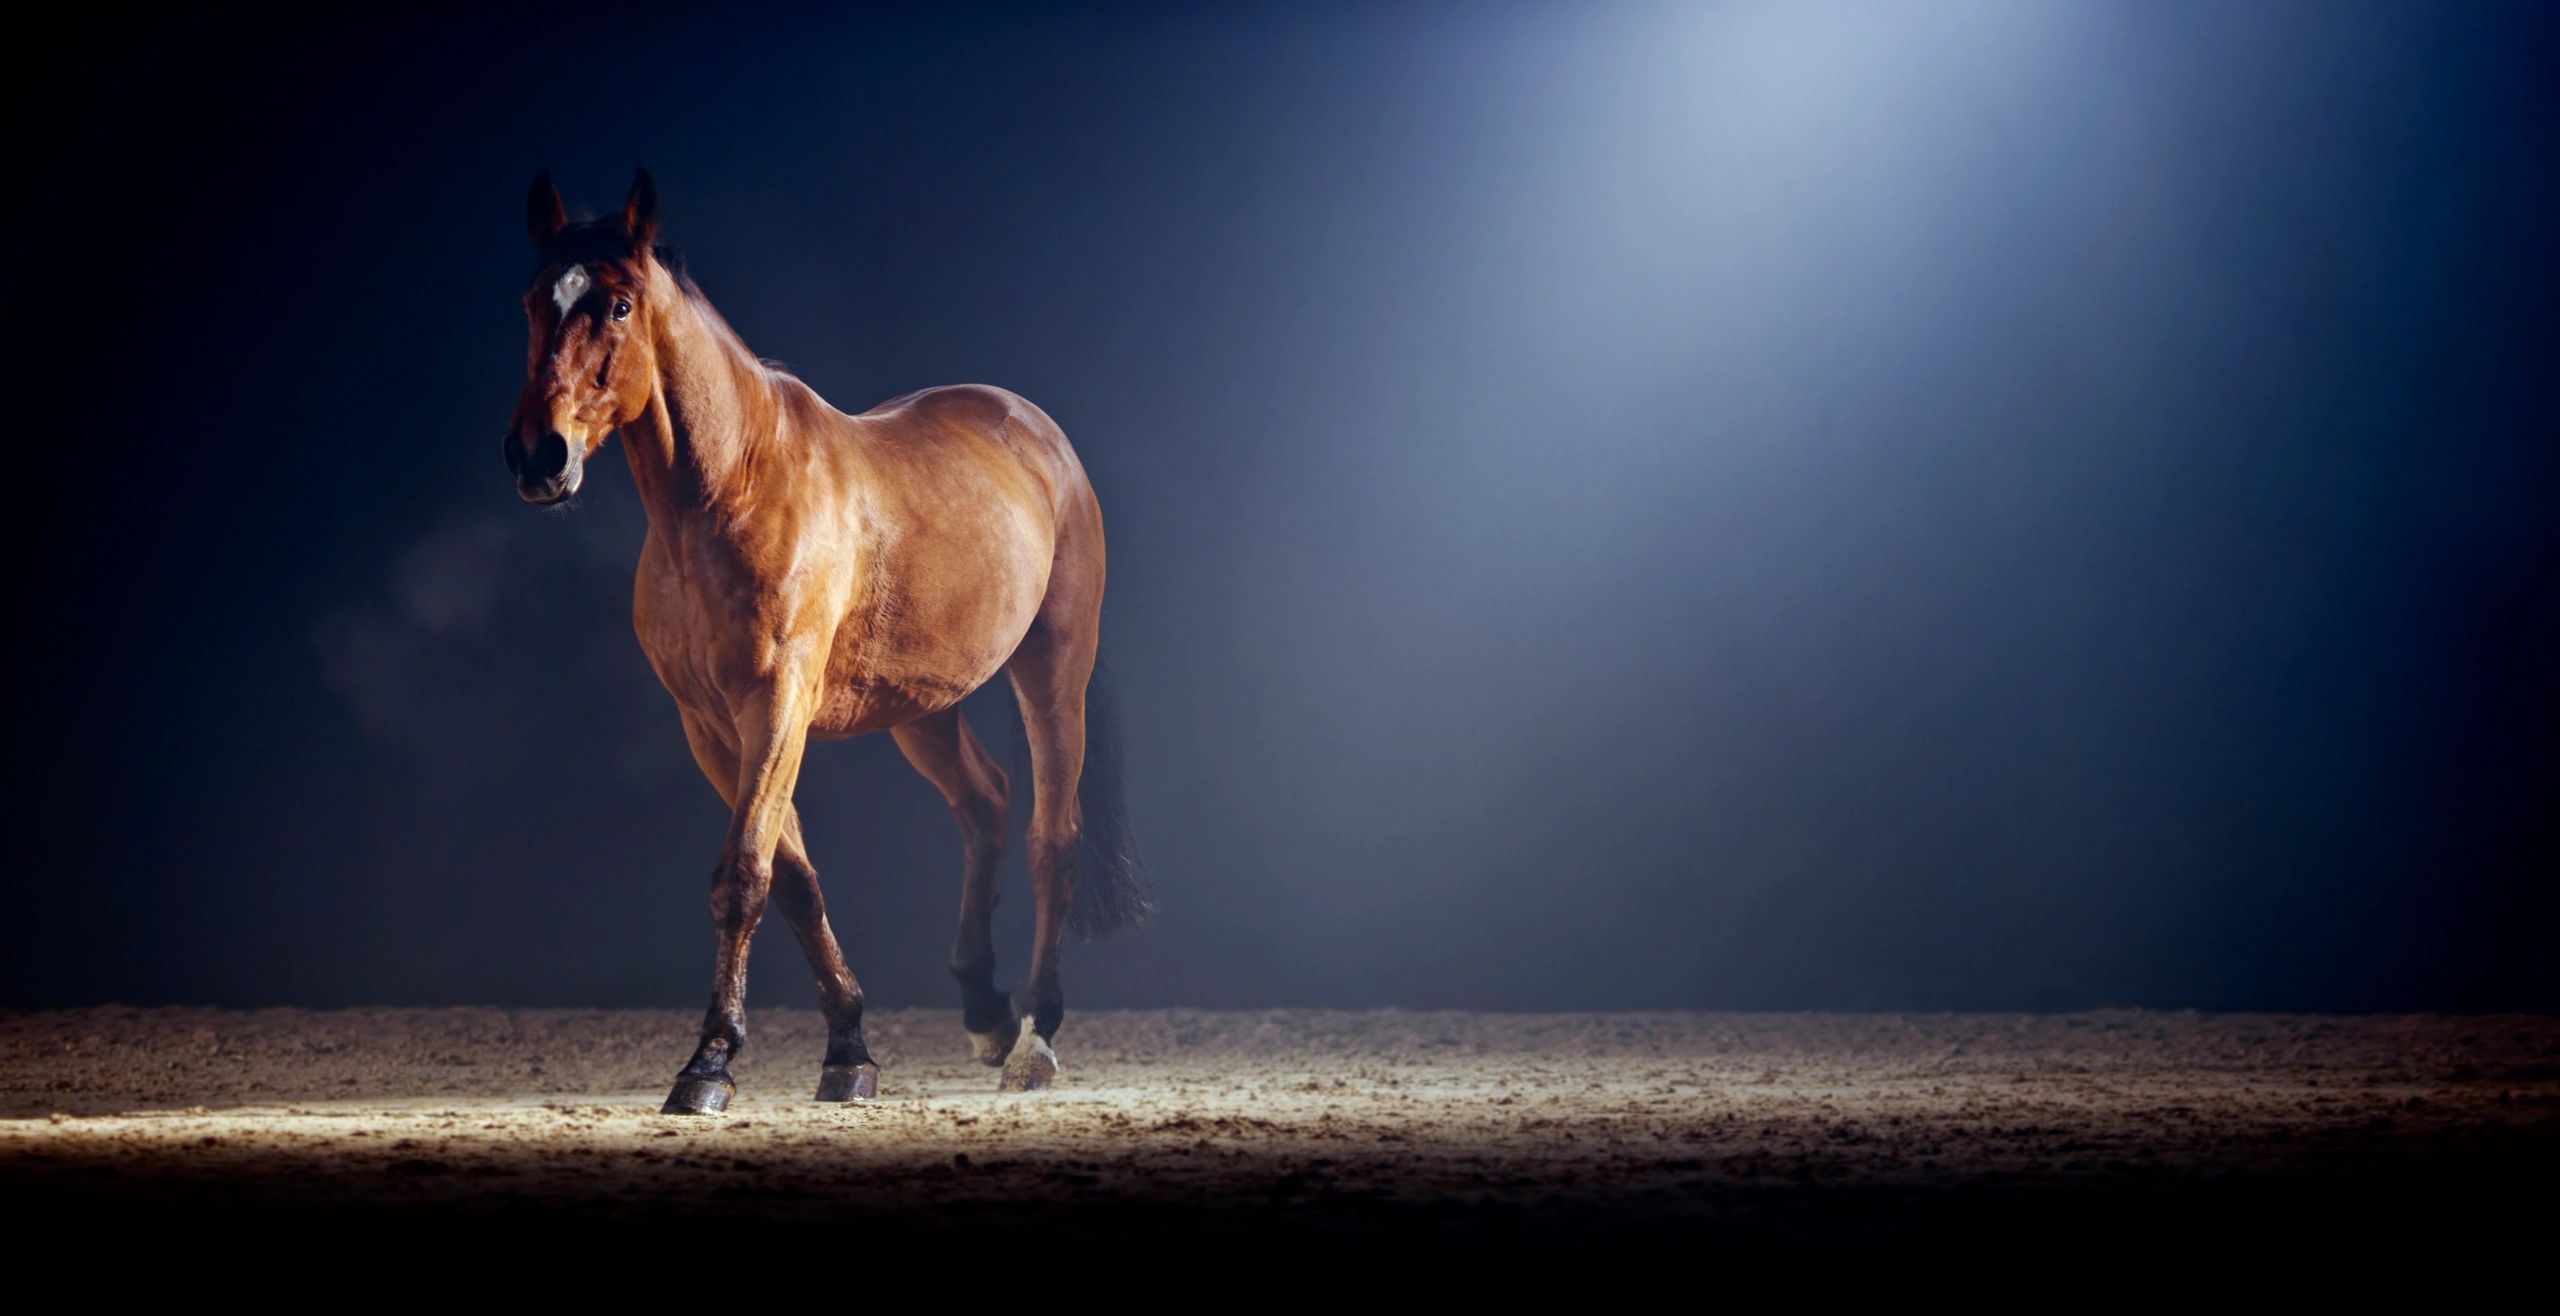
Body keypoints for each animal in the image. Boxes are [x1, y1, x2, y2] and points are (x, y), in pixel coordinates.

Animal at [501, 168, 1150, 1113]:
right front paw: (848, 1048)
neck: (729, 490)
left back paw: (1035, 1036)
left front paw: (709, 1063)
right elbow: (793, 878)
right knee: (985, 803)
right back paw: (985, 1011)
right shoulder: (711, 727)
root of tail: (1036, 431)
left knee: (1051, 837)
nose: (538, 456)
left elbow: (743, 876)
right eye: (530, 302)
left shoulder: (777, 705)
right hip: (924, 706)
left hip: (1053, 669)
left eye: (618, 303)